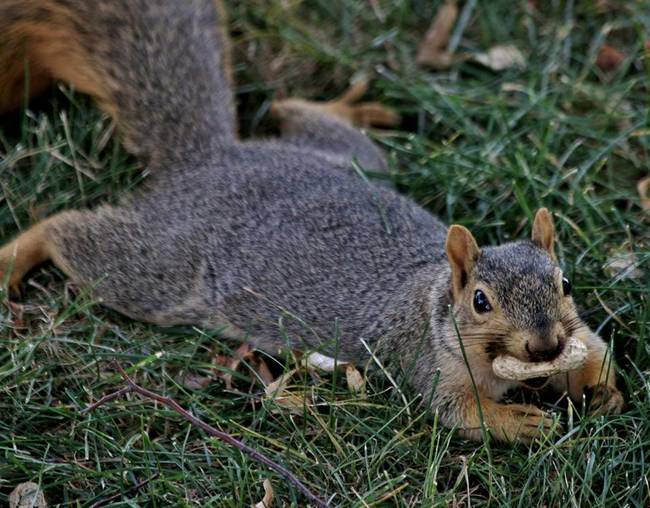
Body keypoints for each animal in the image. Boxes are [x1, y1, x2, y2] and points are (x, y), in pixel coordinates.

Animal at [0, 0, 624, 440]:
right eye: (480, 302)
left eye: (565, 283)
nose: (545, 344)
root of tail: (214, 159)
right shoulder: (426, 359)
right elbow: (457, 413)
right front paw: (519, 421)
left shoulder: (577, 332)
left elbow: (596, 352)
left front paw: (603, 391)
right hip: (160, 268)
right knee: (70, 234)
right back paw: (15, 255)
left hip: (353, 160)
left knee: (292, 112)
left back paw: (342, 106)